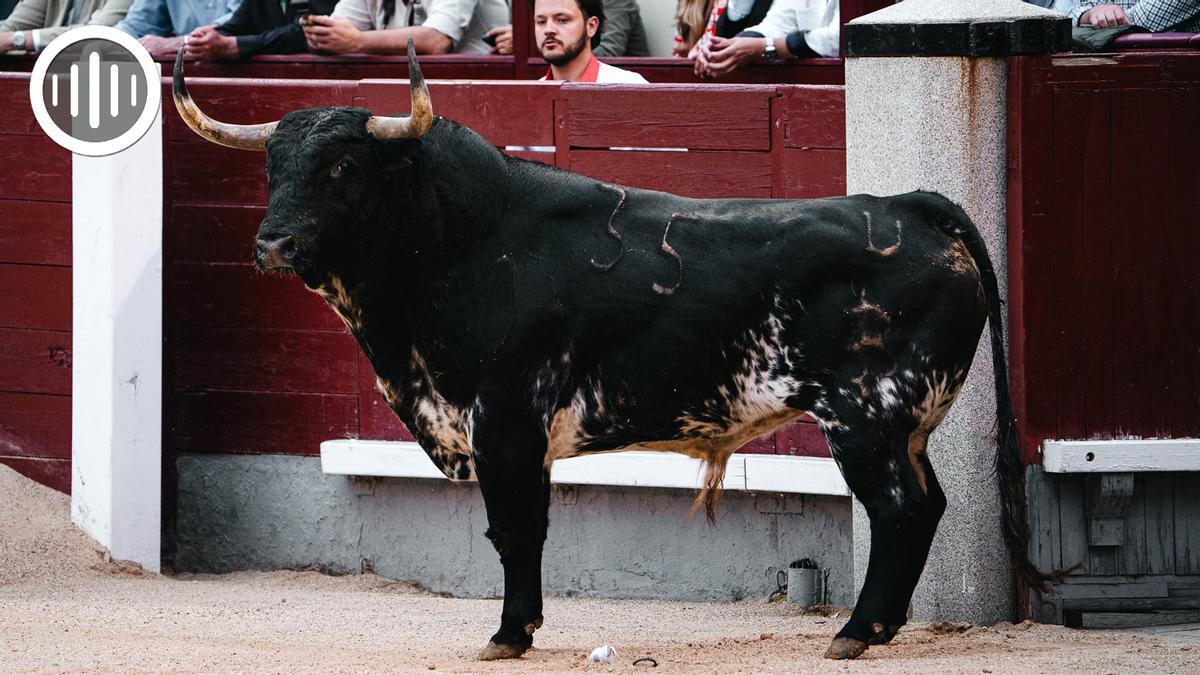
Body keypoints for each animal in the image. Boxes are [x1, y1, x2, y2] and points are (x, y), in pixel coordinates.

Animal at [174, 51, 1065, 658]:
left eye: (344, 166)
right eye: (271, 165)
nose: (273, 245)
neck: (464, 242)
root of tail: (914, 203)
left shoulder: (506, 419)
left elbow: (516, 528)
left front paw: (510, 632)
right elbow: (521, 528)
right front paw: (520, 626)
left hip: (868, 413)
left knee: (900, 509)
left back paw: (854, 628)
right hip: (903, 423)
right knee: (926, 504)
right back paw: (878, 626)